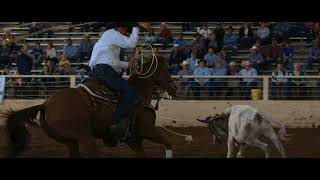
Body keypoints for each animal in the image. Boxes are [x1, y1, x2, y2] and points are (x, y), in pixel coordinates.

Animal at [3, 55, 178, 158]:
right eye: (166, 69)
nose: (174, 88)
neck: (139, 95)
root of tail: (46, 104)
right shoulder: (149, 131)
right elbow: (169, 144)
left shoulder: (134, 141)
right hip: (85, 137)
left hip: (71, 141)